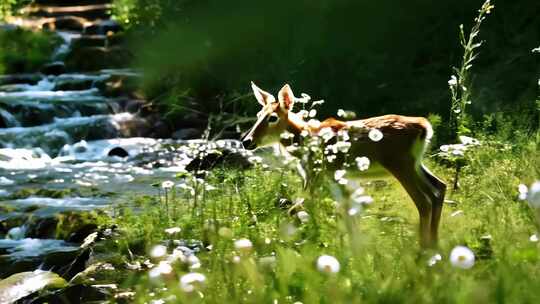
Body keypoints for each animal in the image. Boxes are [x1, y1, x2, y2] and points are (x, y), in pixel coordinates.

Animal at [244, 82, 448, 248]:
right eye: (258, 114)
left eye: (272, 117)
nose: (247, 141)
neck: (305, 140)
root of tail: (424, 127)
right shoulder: (339, 177)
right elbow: (348, 211)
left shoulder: (317, 175)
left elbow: (296, 209)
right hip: (415, 164)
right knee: (439, 187)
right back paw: (434, 245)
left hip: (400, 164)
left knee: (424, 201)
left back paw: (422, 250)